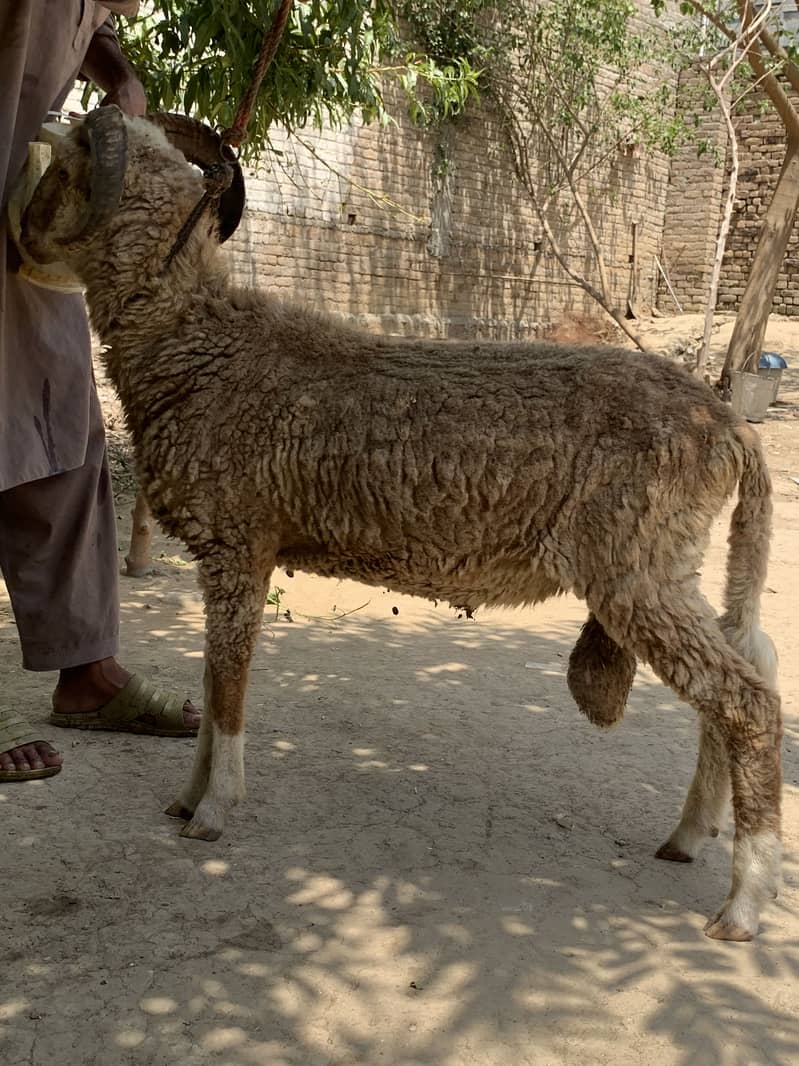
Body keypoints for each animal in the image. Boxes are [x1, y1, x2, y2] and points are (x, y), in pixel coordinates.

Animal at [21, 109, 782, 942]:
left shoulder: (239, 544)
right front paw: (187, 798)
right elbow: (213, 678)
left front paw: (213, 811)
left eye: (62, 172)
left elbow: (228, 685)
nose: (19, 239)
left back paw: (743, 902)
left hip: (635, 566)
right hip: (668, 562)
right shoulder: (234, 553)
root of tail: (729, 430)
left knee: (746, 698)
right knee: (753, 660)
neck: (204, 346)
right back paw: (691, 835)